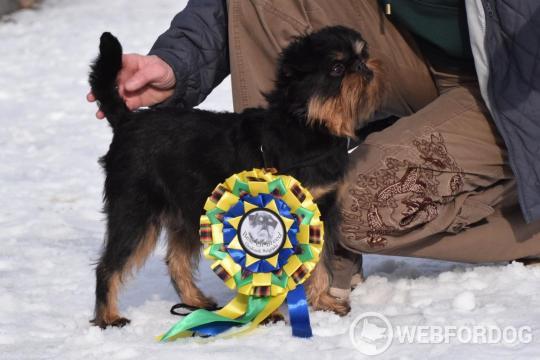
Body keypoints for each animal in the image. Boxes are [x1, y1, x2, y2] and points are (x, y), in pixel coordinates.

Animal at [88, 26, 384, 330]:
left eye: (363, 56)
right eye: (337, 68)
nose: (363, 67)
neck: (307, 126)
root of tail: (128, 121)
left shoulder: (320, 212)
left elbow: (320, 263)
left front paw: (323, 302)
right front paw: (268, 313)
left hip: (186, 212)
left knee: (176, 261)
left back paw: (195, 301)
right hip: (135, 212)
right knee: (107, 266)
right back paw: (108, 316)